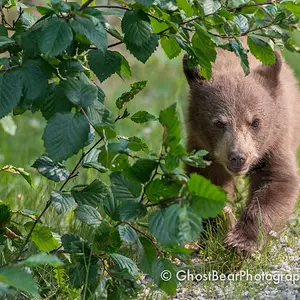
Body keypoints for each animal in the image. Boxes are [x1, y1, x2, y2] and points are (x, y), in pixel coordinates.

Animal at [183, 47, 300, 255]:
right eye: (218, 123)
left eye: (255, 122)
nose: (238, 157)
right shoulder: (202, 150)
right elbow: (207, 183)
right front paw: (216, 229)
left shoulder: (276, 142)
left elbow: (278, 181)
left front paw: (241, 241)